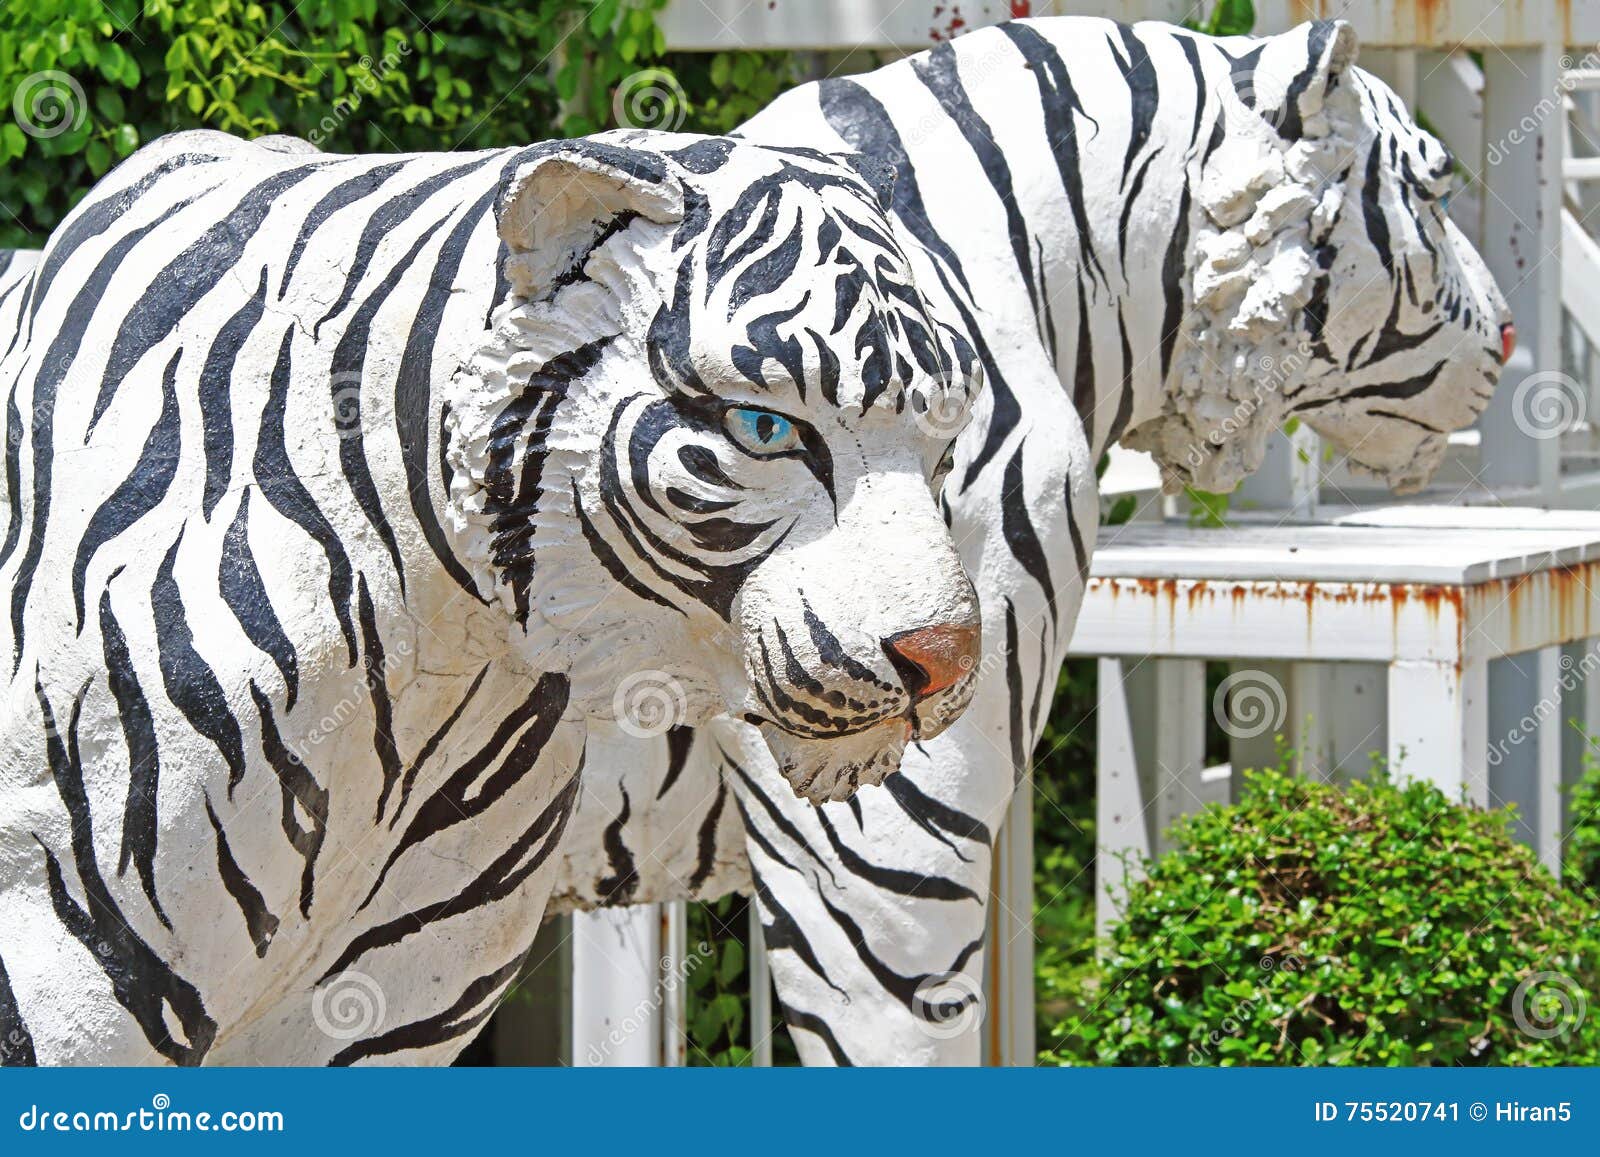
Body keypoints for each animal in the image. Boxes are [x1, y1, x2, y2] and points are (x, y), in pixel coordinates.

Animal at [0, 128, 988, 1064]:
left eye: (945, 442)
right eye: (765, 427)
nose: (944, 660)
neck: (432, 663)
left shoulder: (381, 1013)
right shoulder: (54, 972)